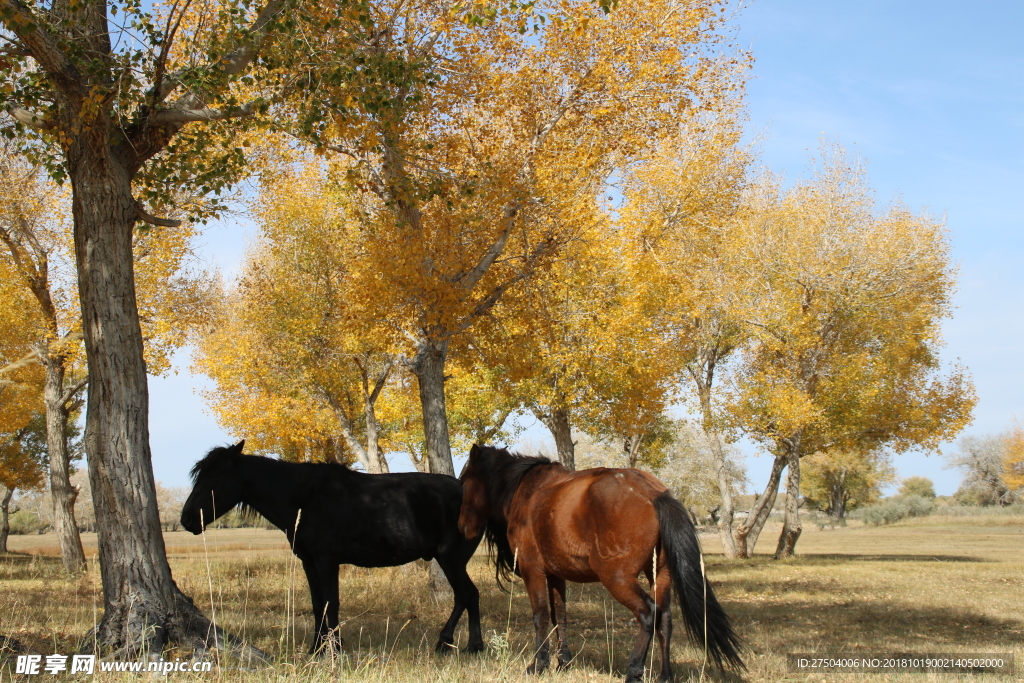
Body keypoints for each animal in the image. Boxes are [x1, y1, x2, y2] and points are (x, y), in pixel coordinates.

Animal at [180, 444, 483, 655]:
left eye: (213, 479)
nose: (186, 519)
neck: (305, 498)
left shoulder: (327, 561)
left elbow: (330, 602)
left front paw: (333, 648)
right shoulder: (310, 562)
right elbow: (318, 605)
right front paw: (317, 648)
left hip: (451, 559)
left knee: (468, 594)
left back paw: (468, 645)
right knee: (463, 596)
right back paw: (450, 643)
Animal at [460, 446, 741, 679]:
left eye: (464, 482)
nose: (462, 527)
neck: (526, 489)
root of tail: (652, 493)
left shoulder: (534, 571)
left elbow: (540, 616)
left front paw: (538, 664)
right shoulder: (556, 575)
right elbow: (560, 616)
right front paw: (563, 662)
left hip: (617, 578)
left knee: (648, 614)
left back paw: (634, 669)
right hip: (659, 575)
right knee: (665, 618)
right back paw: (665, 675)